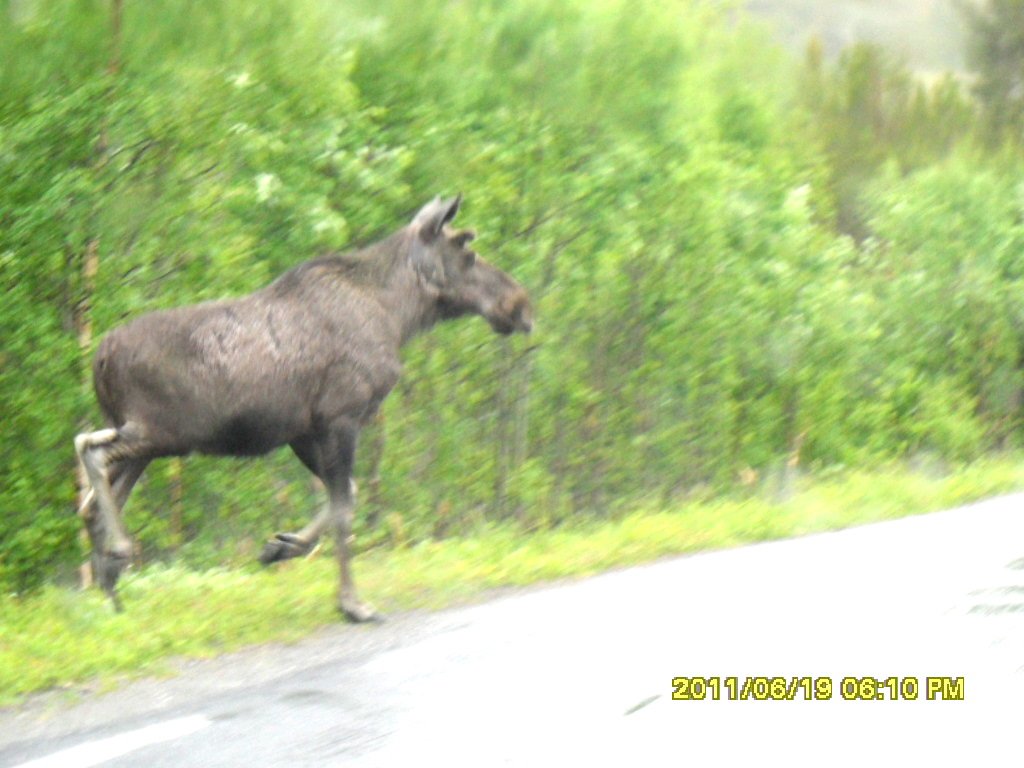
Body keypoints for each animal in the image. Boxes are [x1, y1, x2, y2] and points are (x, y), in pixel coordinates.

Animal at [75, 195, 532, 622]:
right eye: (467, 251)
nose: (520, 304)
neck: (398, 316)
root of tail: (99, 358)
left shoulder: (303, 430)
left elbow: (344, 494)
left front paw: (281, 547)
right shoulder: (341, 416)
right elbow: (345, 509)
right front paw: (352, 603)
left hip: (146, 442)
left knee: (93, 499)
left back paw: (109, 586)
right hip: (159, 432)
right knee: (88, 450)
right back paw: (119, 553)